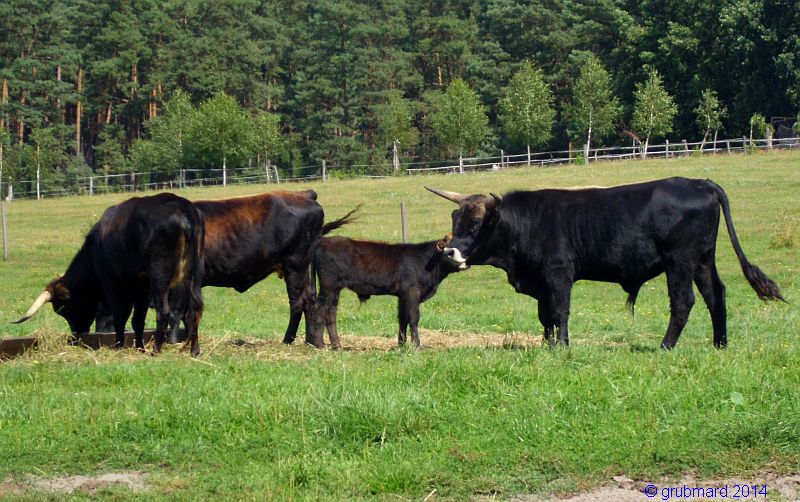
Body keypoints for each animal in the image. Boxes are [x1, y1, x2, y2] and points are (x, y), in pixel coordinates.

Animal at [13, 191, 205, 352]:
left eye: (64, 309)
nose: (77, 332)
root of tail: (180, 204)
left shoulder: (112, 283)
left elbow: (120, 316)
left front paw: (120, 346)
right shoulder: (141, 288)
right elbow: (137, 320)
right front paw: (139, 348)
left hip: (160, 279)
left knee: (164, 311)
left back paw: (157, 350)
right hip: (191, 277)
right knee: (194, 310)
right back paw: (194, 350)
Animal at [310, 235, 460, 350]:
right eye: (450, 252)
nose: (464, 262)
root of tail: (323, 241)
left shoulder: (403, 296)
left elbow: (402, 318)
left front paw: (401, 345)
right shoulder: (412, 293)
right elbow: (413, 318)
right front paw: (416, 345)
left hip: (334, 290)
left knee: (331, 313)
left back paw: (337, 345)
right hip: (328, 287)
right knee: (319, 309)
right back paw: (319, 343)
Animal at [428, 178, 784, 352]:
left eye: (476, 226)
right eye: (455, 220)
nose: (449, 253)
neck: (525, 223)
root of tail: (702, 183)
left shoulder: (559, 274)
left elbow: (560, 312)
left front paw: (562, 346)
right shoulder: (541, 282)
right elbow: (545, 315)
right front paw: (547, 344)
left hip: (680, 262)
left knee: (684, 302)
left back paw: (665, 346)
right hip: (703, 260)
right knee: (716, 296)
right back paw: (720, 344)